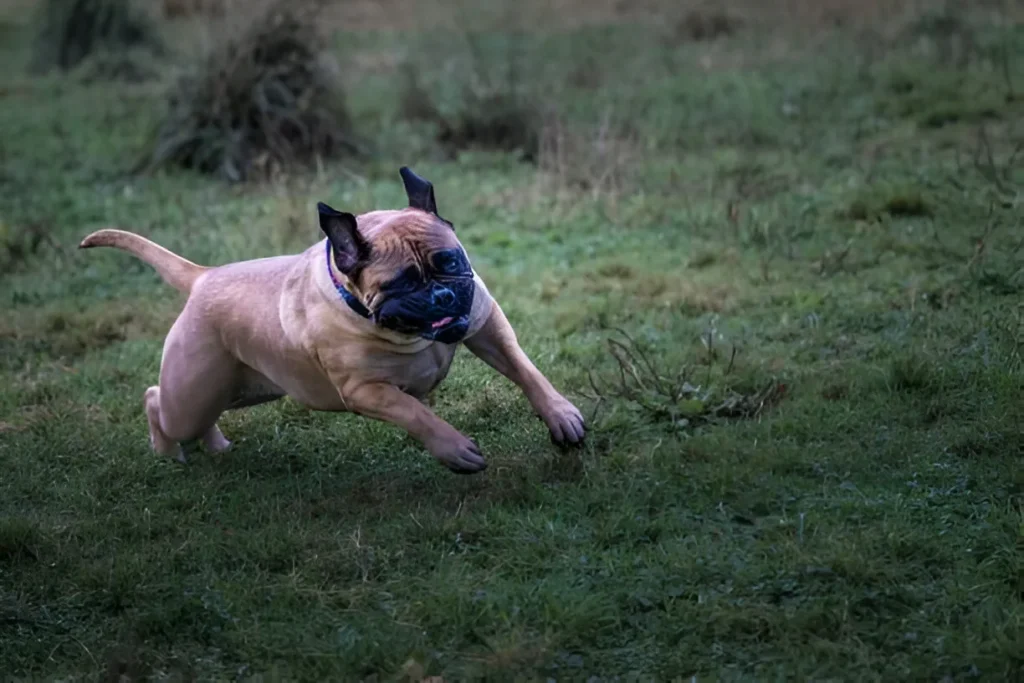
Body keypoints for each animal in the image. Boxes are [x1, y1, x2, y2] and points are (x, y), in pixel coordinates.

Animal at [79, 167, 585, 473]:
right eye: (401, 284)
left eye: (452, 263)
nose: (440, 295)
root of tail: (203, 277)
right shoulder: (368, 392)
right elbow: (416, 413)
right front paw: (455, 449)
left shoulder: (486, 325)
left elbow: (527, 371)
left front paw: (561, 416)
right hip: (190, 393)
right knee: (156, 402)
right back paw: (168, 453)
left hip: (241, 388)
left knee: (204, 413)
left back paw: (217, 447)